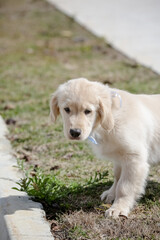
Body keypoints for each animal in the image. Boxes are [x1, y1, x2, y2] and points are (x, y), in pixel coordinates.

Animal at [50, 78, 160, 218]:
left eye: (88, 111)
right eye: (67, 109)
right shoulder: (119, 157)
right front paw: (111, 193)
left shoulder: (134, 159)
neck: (111, 118)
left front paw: (119, 208)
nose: (75, 132)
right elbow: (117, 177)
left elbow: (125, 186)